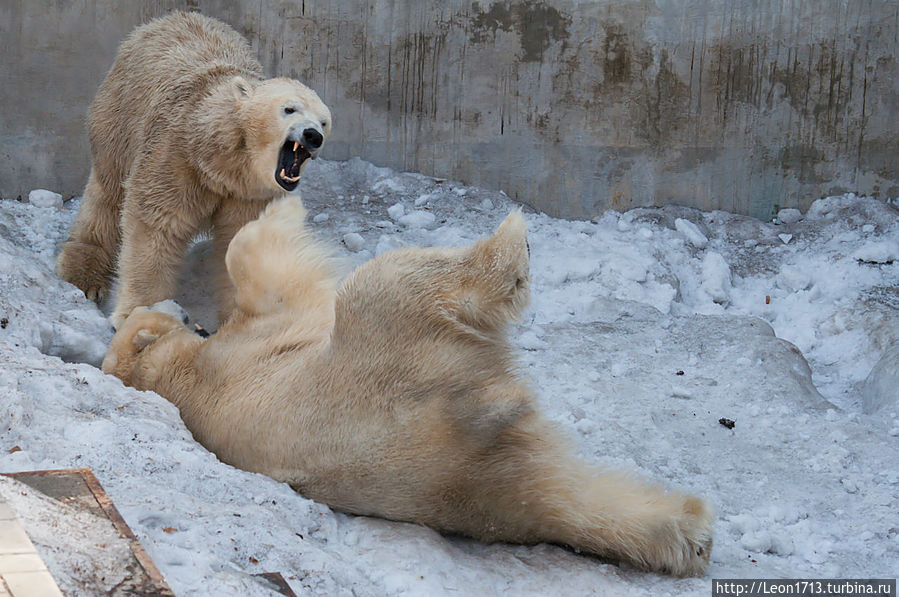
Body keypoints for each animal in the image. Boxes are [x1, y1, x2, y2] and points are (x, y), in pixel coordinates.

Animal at [56, 10, 332, 326]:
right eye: (289, 108)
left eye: (324, 121)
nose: (313, 135)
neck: (218, 162)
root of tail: (170, 17)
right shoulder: (174, 158)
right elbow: (156, 226)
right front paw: (140, 312)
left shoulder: (248, 194)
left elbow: (239, 241)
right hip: (119, 114)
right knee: (108, 191)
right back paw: (84, 273)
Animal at [103, 198, 712, 576]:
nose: (173, 307)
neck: (177, 375)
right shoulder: (270, 336)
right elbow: (257, 257)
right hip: (395, 356)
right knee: (391, 281)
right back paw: (512, 239)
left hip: (489, 487)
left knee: (571, 497)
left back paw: (689, 535)